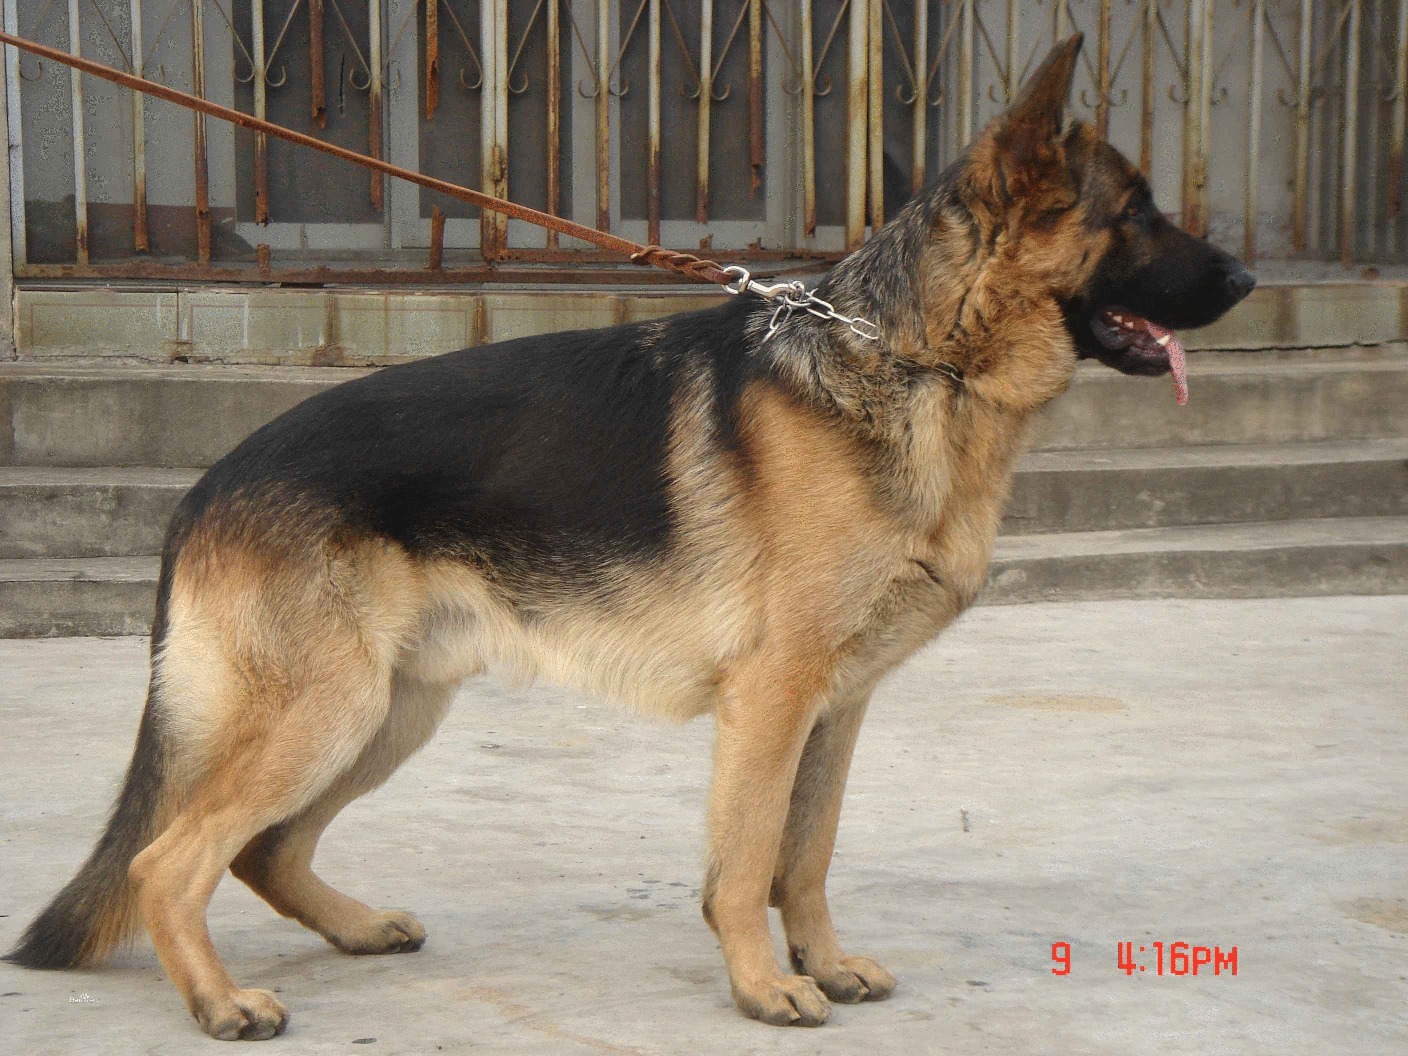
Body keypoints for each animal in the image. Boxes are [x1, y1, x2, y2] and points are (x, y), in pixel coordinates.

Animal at [2, 35, 1255, 1041]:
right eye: (1136, 214)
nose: (1247, 277)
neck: (909, 356)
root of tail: (207, 487)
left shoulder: (836, 707)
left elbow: (806, 855)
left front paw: (824, 962)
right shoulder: (772, 699)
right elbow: (745, 861)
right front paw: (764, 987)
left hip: (391, 713)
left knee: (259, 848)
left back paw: (351, 929)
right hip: (329, 711)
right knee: (170, 859)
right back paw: (220, 1003)